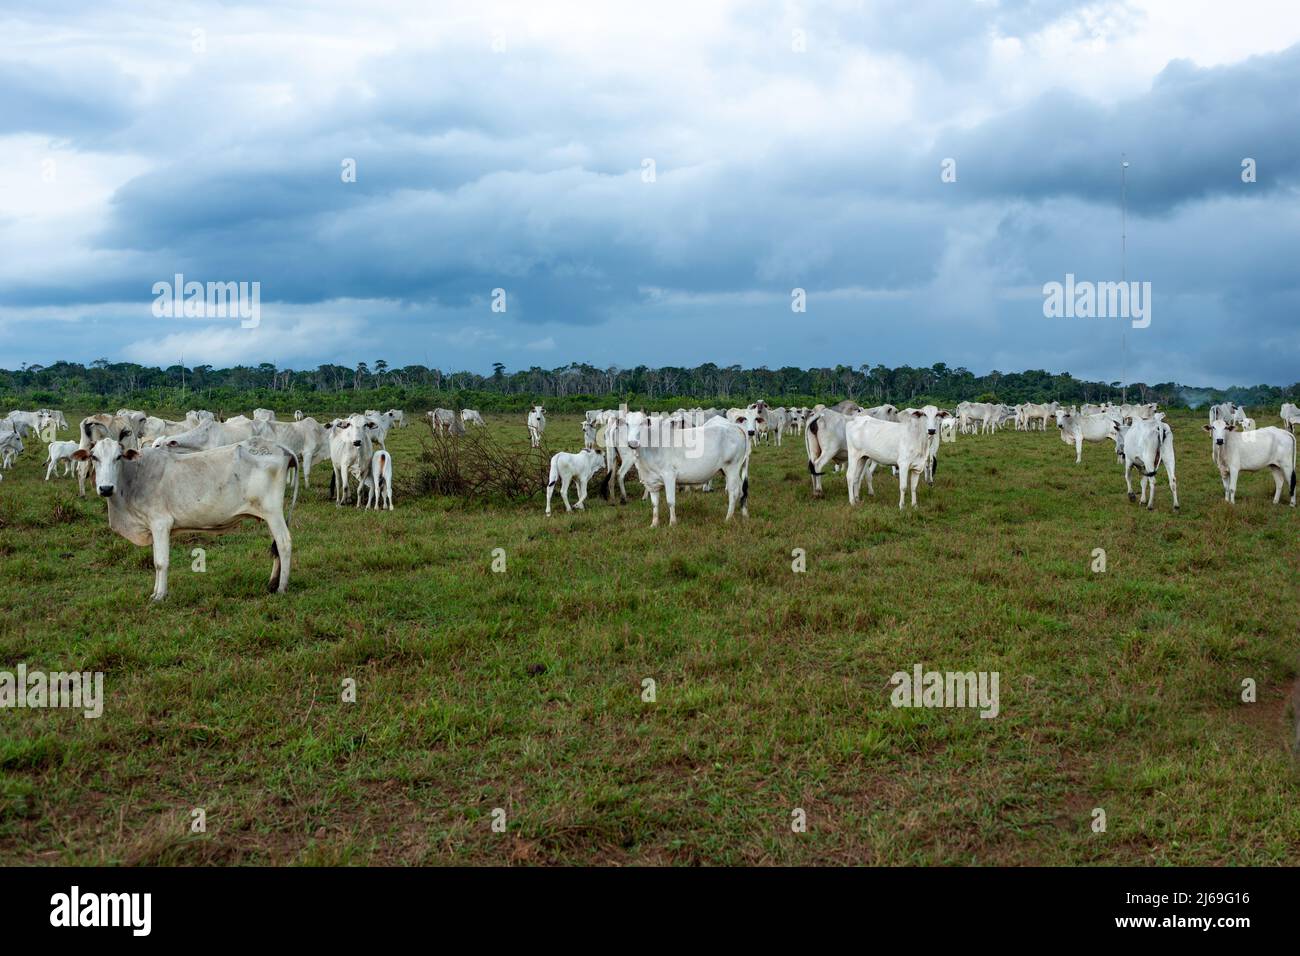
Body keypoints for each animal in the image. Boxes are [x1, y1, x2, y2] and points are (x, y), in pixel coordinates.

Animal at [74, 439, 301, 600]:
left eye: (118, 457)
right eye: (94, 457)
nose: (105, 488)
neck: (135, 476)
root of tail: (281, 447)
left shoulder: (160, 524)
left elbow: (161, 562)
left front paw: (160, 596)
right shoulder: (154, 528)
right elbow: (155, 560)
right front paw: (155, 592)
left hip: (273, 512)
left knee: (284, 544)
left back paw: (281, 588)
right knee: (276, 548)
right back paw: (272, 583)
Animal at [618, 416, 754, 528]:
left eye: (641, 423)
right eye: (627, 424)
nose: (632, 443)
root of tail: (735, 427)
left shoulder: (669, 475)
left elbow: (670, 501)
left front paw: (672, 523)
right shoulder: (651, 481)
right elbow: (654, 504)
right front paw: (654, 524)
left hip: (732, 467)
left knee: (734, 492)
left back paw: (728, 518)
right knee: (742, 490)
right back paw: (744, 515)